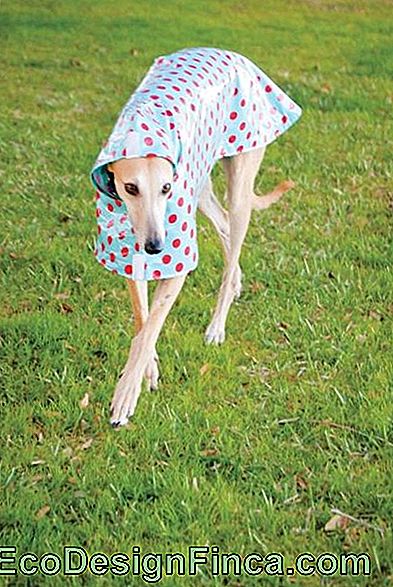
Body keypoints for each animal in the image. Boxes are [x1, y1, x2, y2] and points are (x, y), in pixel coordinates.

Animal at [91, 46, 300, 424]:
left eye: (165, 188)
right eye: (130, 188)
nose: (155, 247)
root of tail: (228, 52)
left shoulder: (176, 257)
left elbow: (150, 326)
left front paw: (126, 394)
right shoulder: (128, 254)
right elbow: (144, 319)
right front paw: (149, 370)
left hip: (240, 182)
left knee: (233, 238)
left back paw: (217, 325)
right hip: (201, 187)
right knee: (225, 228)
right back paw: (235, 282)